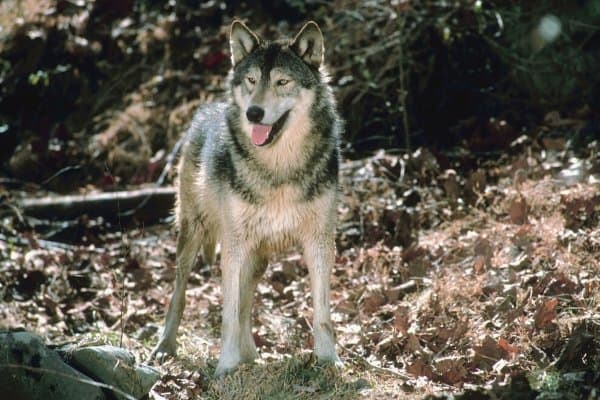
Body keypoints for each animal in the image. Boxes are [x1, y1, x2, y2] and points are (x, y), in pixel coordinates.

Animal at [150, 18, 342, 376]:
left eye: (282, 81)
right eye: (252, 80)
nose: (254, 113)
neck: (278, 170)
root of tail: (204, 110)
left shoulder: (319, 241)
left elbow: (322, 314)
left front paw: (329, 361)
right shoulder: (233, 245)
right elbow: (226, 315)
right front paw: (225, 368)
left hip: (257, 257)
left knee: (246, 306)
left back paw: (251, 356)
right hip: (194, 235)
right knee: (180, 295)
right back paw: (165, 348)